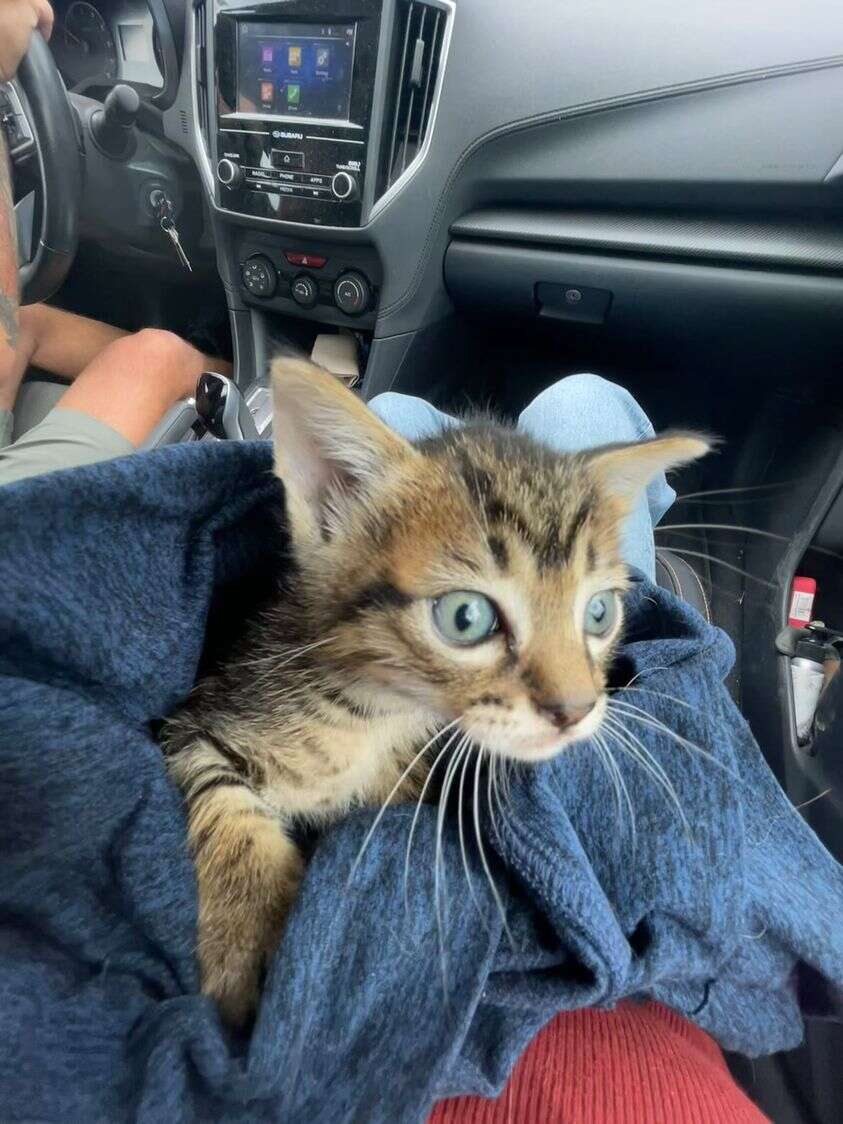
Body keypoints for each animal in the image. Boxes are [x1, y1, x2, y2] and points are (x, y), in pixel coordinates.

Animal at [161, 359, 710, 1029]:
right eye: (465, 618)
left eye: (599, 613)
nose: (576, 709)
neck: (373, 714)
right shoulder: (202, 714)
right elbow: (220, 793)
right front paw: (251, 932)